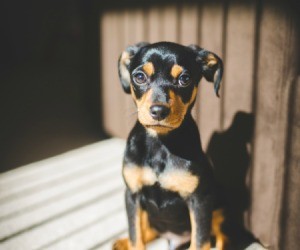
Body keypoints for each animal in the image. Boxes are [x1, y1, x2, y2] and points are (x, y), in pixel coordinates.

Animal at [113, 42, 226, 249]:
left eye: (185, 79)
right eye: (139, 77)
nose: (159, 111)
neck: (161, 142)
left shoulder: (200, 200)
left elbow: (200, 241)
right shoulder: (132, 194)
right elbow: (136, 236)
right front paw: (130, 241)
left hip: (219, 211)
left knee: (221, 238)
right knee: (147, 230)